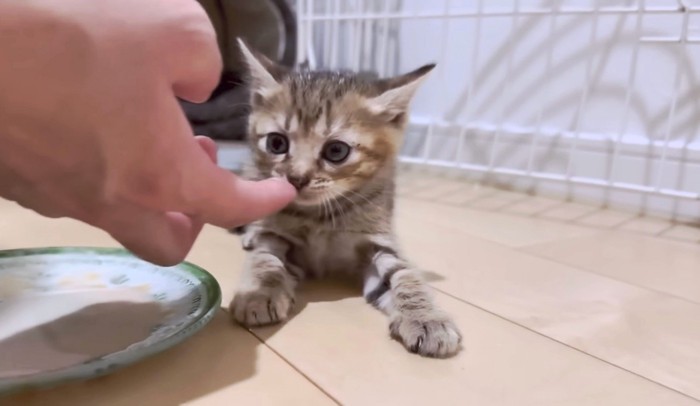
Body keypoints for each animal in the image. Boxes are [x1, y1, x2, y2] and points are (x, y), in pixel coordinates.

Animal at [230, 40, 460, 358]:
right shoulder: (278, 236)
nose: (296, 179)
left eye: (336, 151)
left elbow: (403, 273)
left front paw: (426, 317)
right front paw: (260, 292)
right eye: (277, 143)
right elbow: (265, 259)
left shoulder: (378, 241)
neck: (320, 216)